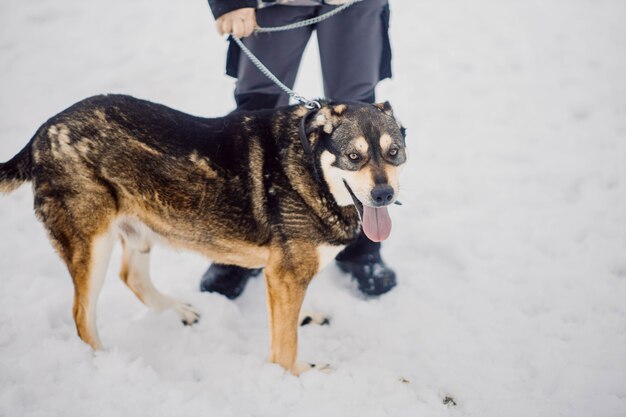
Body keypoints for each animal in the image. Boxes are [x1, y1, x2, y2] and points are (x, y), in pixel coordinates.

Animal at [0, 94, 404, 374]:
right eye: (353, 157)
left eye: (394, 152)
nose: (384, 194)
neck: (310, 168)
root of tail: (39, 135)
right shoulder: (286, 275)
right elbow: (284, 345)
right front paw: (297, 374)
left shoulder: (284, 276)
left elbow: (287, 319)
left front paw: (306, 318)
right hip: (93, 244)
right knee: (82, 316)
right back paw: (105, 363)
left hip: (141, 227)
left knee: (132, 277)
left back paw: (178, 311)